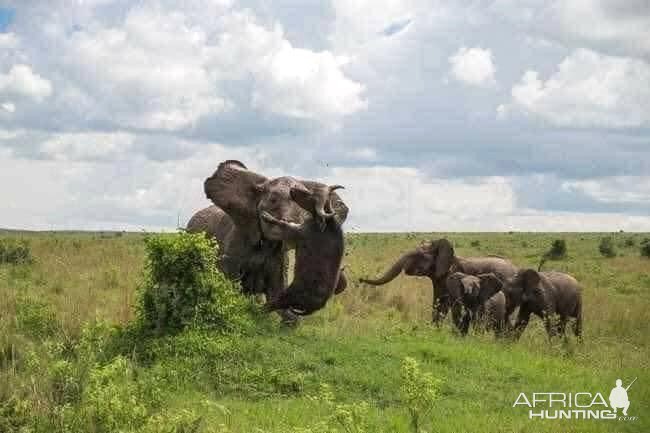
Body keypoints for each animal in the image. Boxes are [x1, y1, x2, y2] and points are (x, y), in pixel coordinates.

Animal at [356, 238, 520, 326]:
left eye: (419, 256)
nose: (360, 279)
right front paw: (433, 329)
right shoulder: (439, 278)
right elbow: (438, 302)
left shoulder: (450, 276)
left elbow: (446, 303)